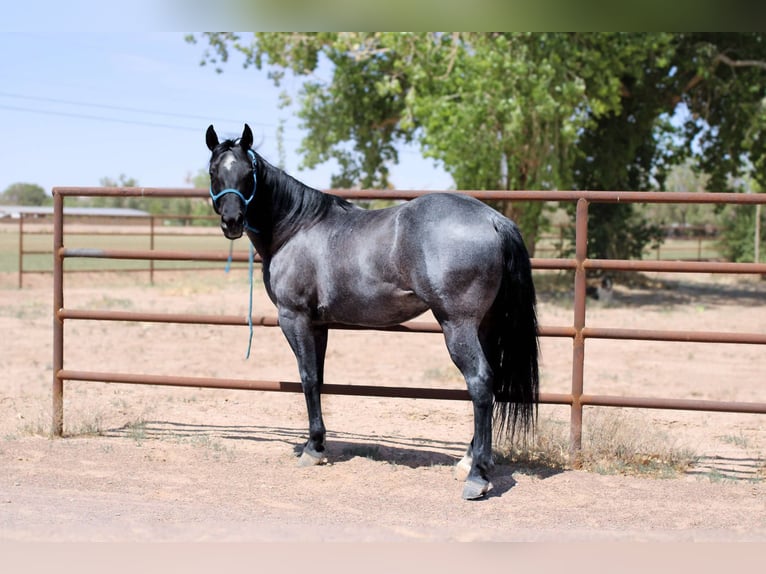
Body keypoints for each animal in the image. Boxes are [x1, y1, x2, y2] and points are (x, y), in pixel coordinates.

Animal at [205, 123, 540, 500]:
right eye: (214, 171)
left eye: (248, 173)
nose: (232, 221)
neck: (295, 228)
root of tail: (493, 219)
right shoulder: (319, 325)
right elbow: (318, 378)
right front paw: (319, 446)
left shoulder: (295, 318)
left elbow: (307, 378)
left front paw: (312, 449)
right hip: (486, 326)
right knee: (491, 383)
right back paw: (467, 461)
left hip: (458, 326)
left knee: (480, 382)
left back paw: (477, 477)